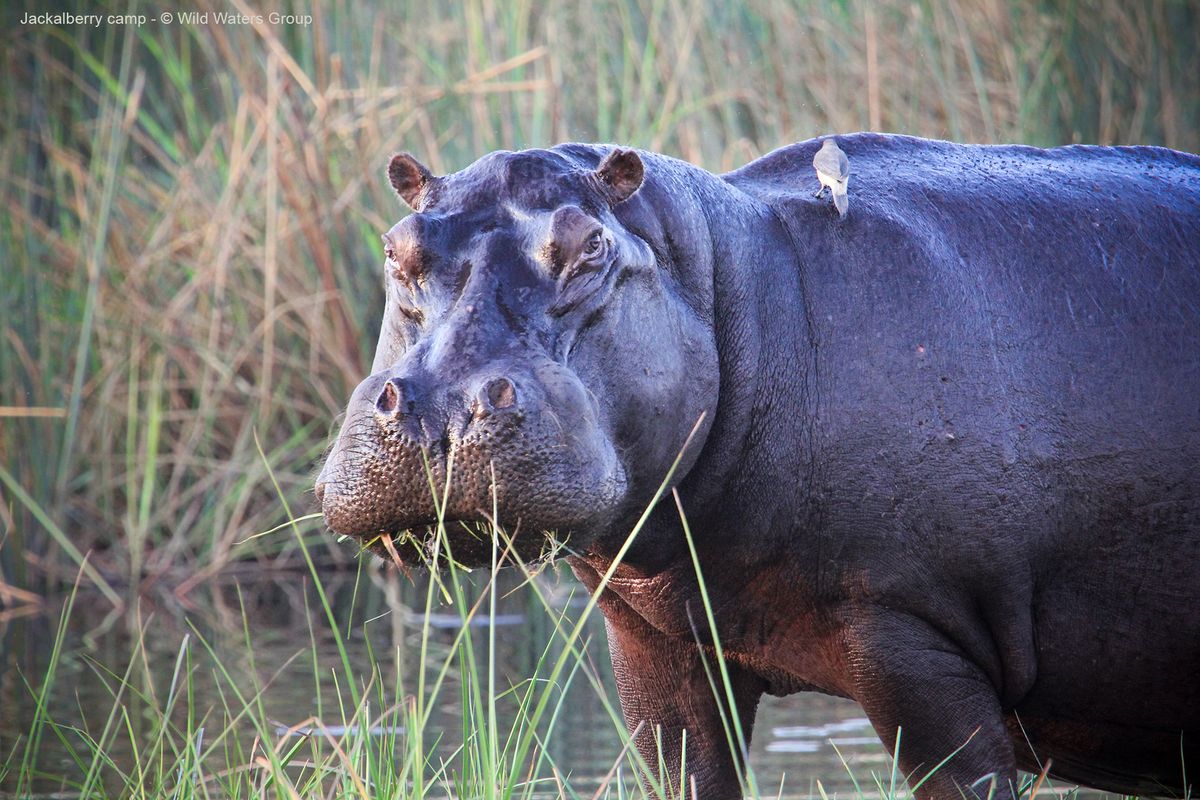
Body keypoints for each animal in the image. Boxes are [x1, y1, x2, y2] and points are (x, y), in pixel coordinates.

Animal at [315, 133, 1200, 799]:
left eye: (589, 246)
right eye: (396, 248)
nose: (441, 410)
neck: (741, 292)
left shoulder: (915, 637)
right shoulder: (656, 648)